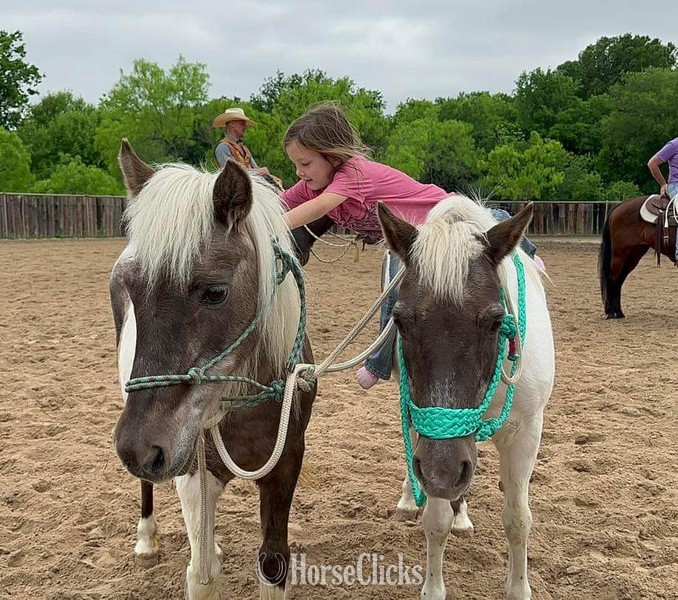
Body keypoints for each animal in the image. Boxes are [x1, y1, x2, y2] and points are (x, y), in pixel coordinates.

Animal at [110, 140, 316, 599]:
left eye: (216, 291)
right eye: (130, 286)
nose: (140, 448)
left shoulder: (285, 466)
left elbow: (273, 563)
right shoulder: (190, 471)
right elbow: (201, 571)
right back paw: (146, 539)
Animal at [378, 197, 555, 599]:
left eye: (495, 322)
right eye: (399, 320)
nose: (443, 472)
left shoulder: (526, 431)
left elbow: (518, 519)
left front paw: (518, 588)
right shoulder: (429, 433)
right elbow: (436, 520)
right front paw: (433, 588)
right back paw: (410, 498)